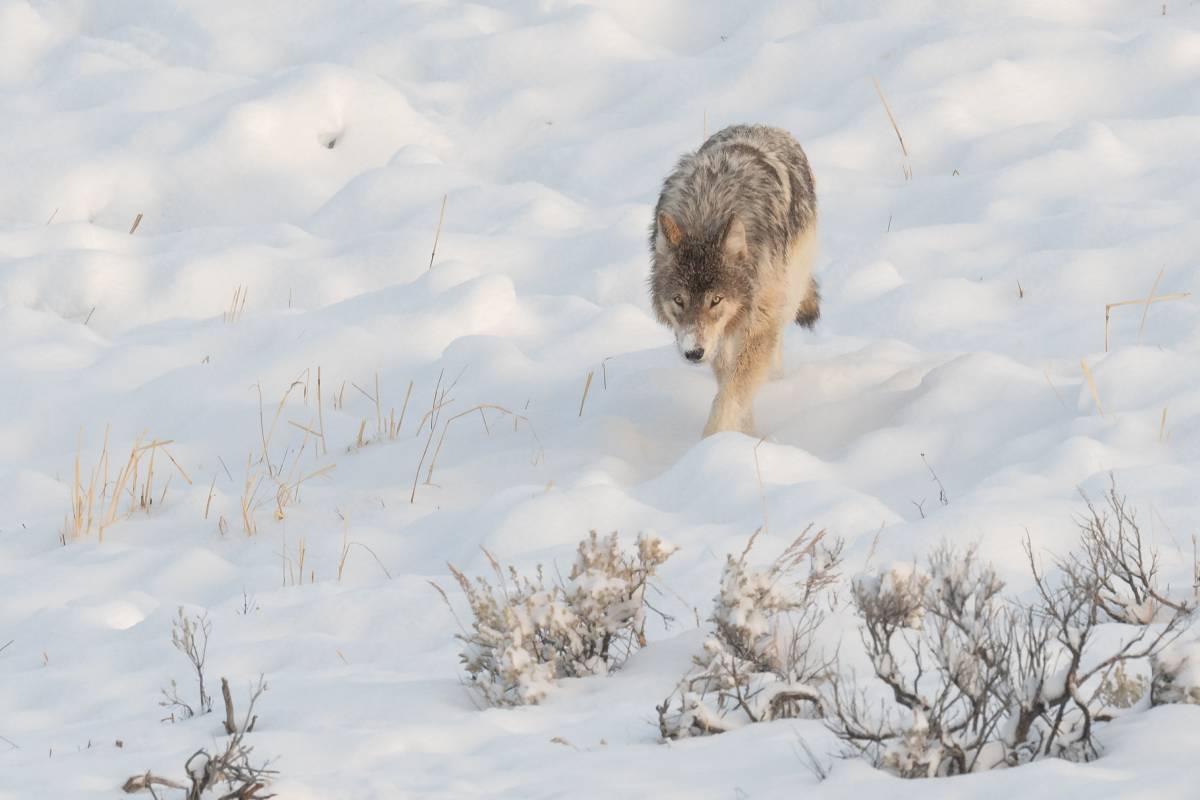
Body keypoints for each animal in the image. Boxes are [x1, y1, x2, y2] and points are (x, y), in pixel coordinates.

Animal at [652, 124, 820, 438]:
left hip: (786, 294)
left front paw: (715, 443)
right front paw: (742, 435)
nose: (693, 353)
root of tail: (765, 126)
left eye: (715, 300)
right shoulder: (721, 338)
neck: (707, 212)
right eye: (679, 300)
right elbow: (731, 385)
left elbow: (732, 393)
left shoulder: (758, 325)